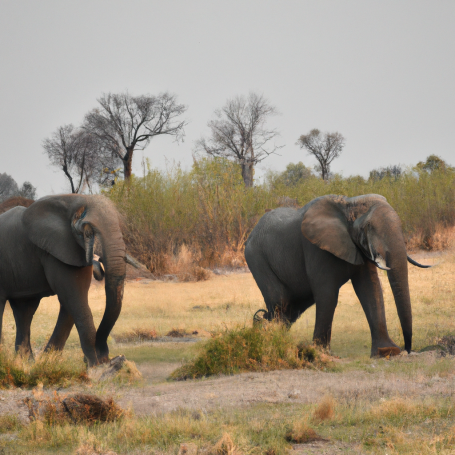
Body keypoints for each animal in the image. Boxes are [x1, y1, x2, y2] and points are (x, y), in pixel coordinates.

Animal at [0, 195, 126, 366]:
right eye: (89, 232)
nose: (106, 357)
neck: (75, 199)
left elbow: (72, 302)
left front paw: (48, 362)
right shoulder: (56, 249)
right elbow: (74, 299)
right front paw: (96, 366)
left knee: (24, 310)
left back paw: (26, 363)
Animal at [246, 192, 432, 356]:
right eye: (367, 227)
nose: (407, 349)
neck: (349, 203)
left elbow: (371, 289)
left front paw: (387, 352)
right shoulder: (315, 247)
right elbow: (327, 294)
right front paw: (320, 352)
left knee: (292, 309)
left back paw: (267, 332)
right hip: (256, 258)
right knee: (280, 301)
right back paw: (269, 337)